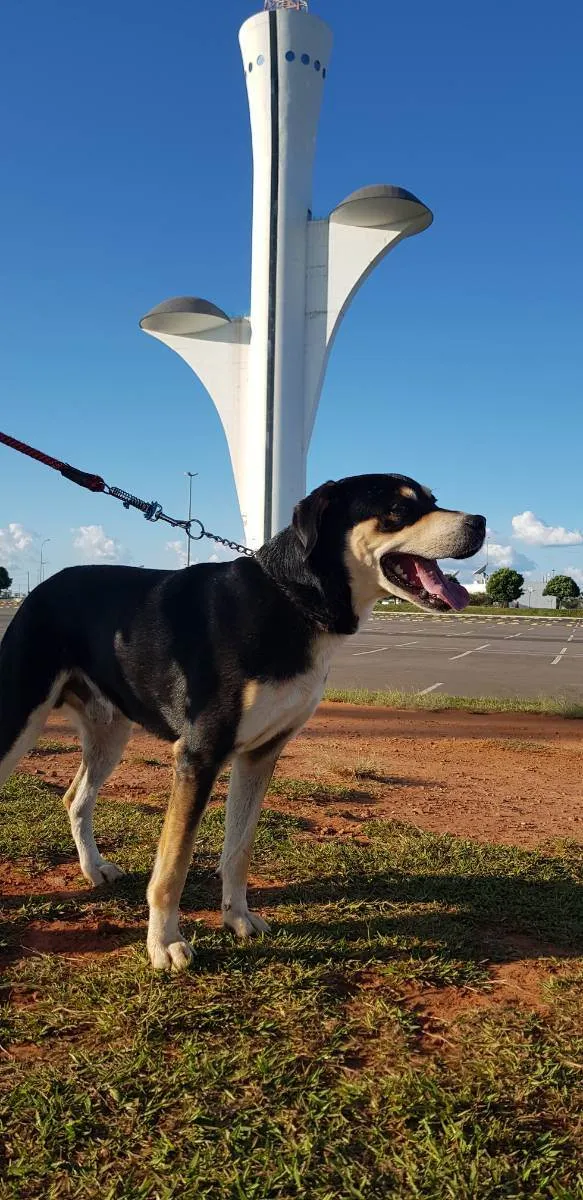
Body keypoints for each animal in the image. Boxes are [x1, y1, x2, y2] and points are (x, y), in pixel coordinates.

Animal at [0, 472, 482, 969]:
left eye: (432, 500)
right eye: (398, 510)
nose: (480, 523)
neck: (290, 599)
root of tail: (44, 586)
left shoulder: (260, 754)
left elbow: (239, 848)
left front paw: (236, 918)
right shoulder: (199, 755)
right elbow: (173, 865)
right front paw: (164, 943)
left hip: (110, 731)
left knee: (75, 797)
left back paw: (94, 867)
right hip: (18, 718)